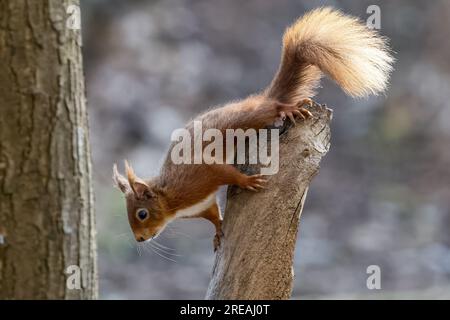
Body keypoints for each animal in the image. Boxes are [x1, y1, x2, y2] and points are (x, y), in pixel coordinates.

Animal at [113, 6, 394, 250]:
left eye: (141, 213)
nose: (139, 239)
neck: (172, 199)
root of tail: (259, 99)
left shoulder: (202, 174)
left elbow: (226, 173)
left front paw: (247, 181)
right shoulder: (203, 203)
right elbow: (213, 215)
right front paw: (218, 231)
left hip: (253, 115)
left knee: (273, 108)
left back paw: (288, 109)